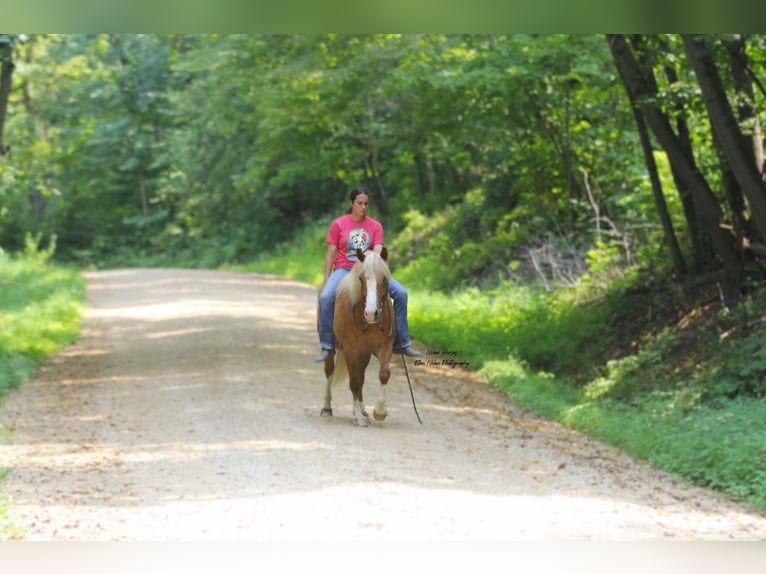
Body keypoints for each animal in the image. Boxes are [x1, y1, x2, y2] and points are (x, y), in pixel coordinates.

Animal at [320, 248, 400, 428]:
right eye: (361, 278)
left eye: (384, 278)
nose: (371, 313)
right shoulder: (350, 349)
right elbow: (354, 382)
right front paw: (358, 417)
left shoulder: (385, 347)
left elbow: (384, 374)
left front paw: (379, 412)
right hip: (333, 349)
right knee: (330, 372)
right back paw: (327, 408)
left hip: (364, 354)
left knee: (362, 377)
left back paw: (364, 410)